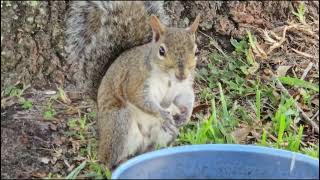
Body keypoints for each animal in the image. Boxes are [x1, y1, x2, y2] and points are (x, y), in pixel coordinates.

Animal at [65, 0, 200, 168]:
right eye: (162, 51)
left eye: (196, 51)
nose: (182, 74)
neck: (168, 79)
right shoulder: (135, 80)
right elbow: (140, 99)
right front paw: (163, 114)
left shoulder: (183, 87)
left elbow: (186, 98)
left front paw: (185, 116)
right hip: (120, 122)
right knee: (109, 161)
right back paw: (119, 162)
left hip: (160, 135)